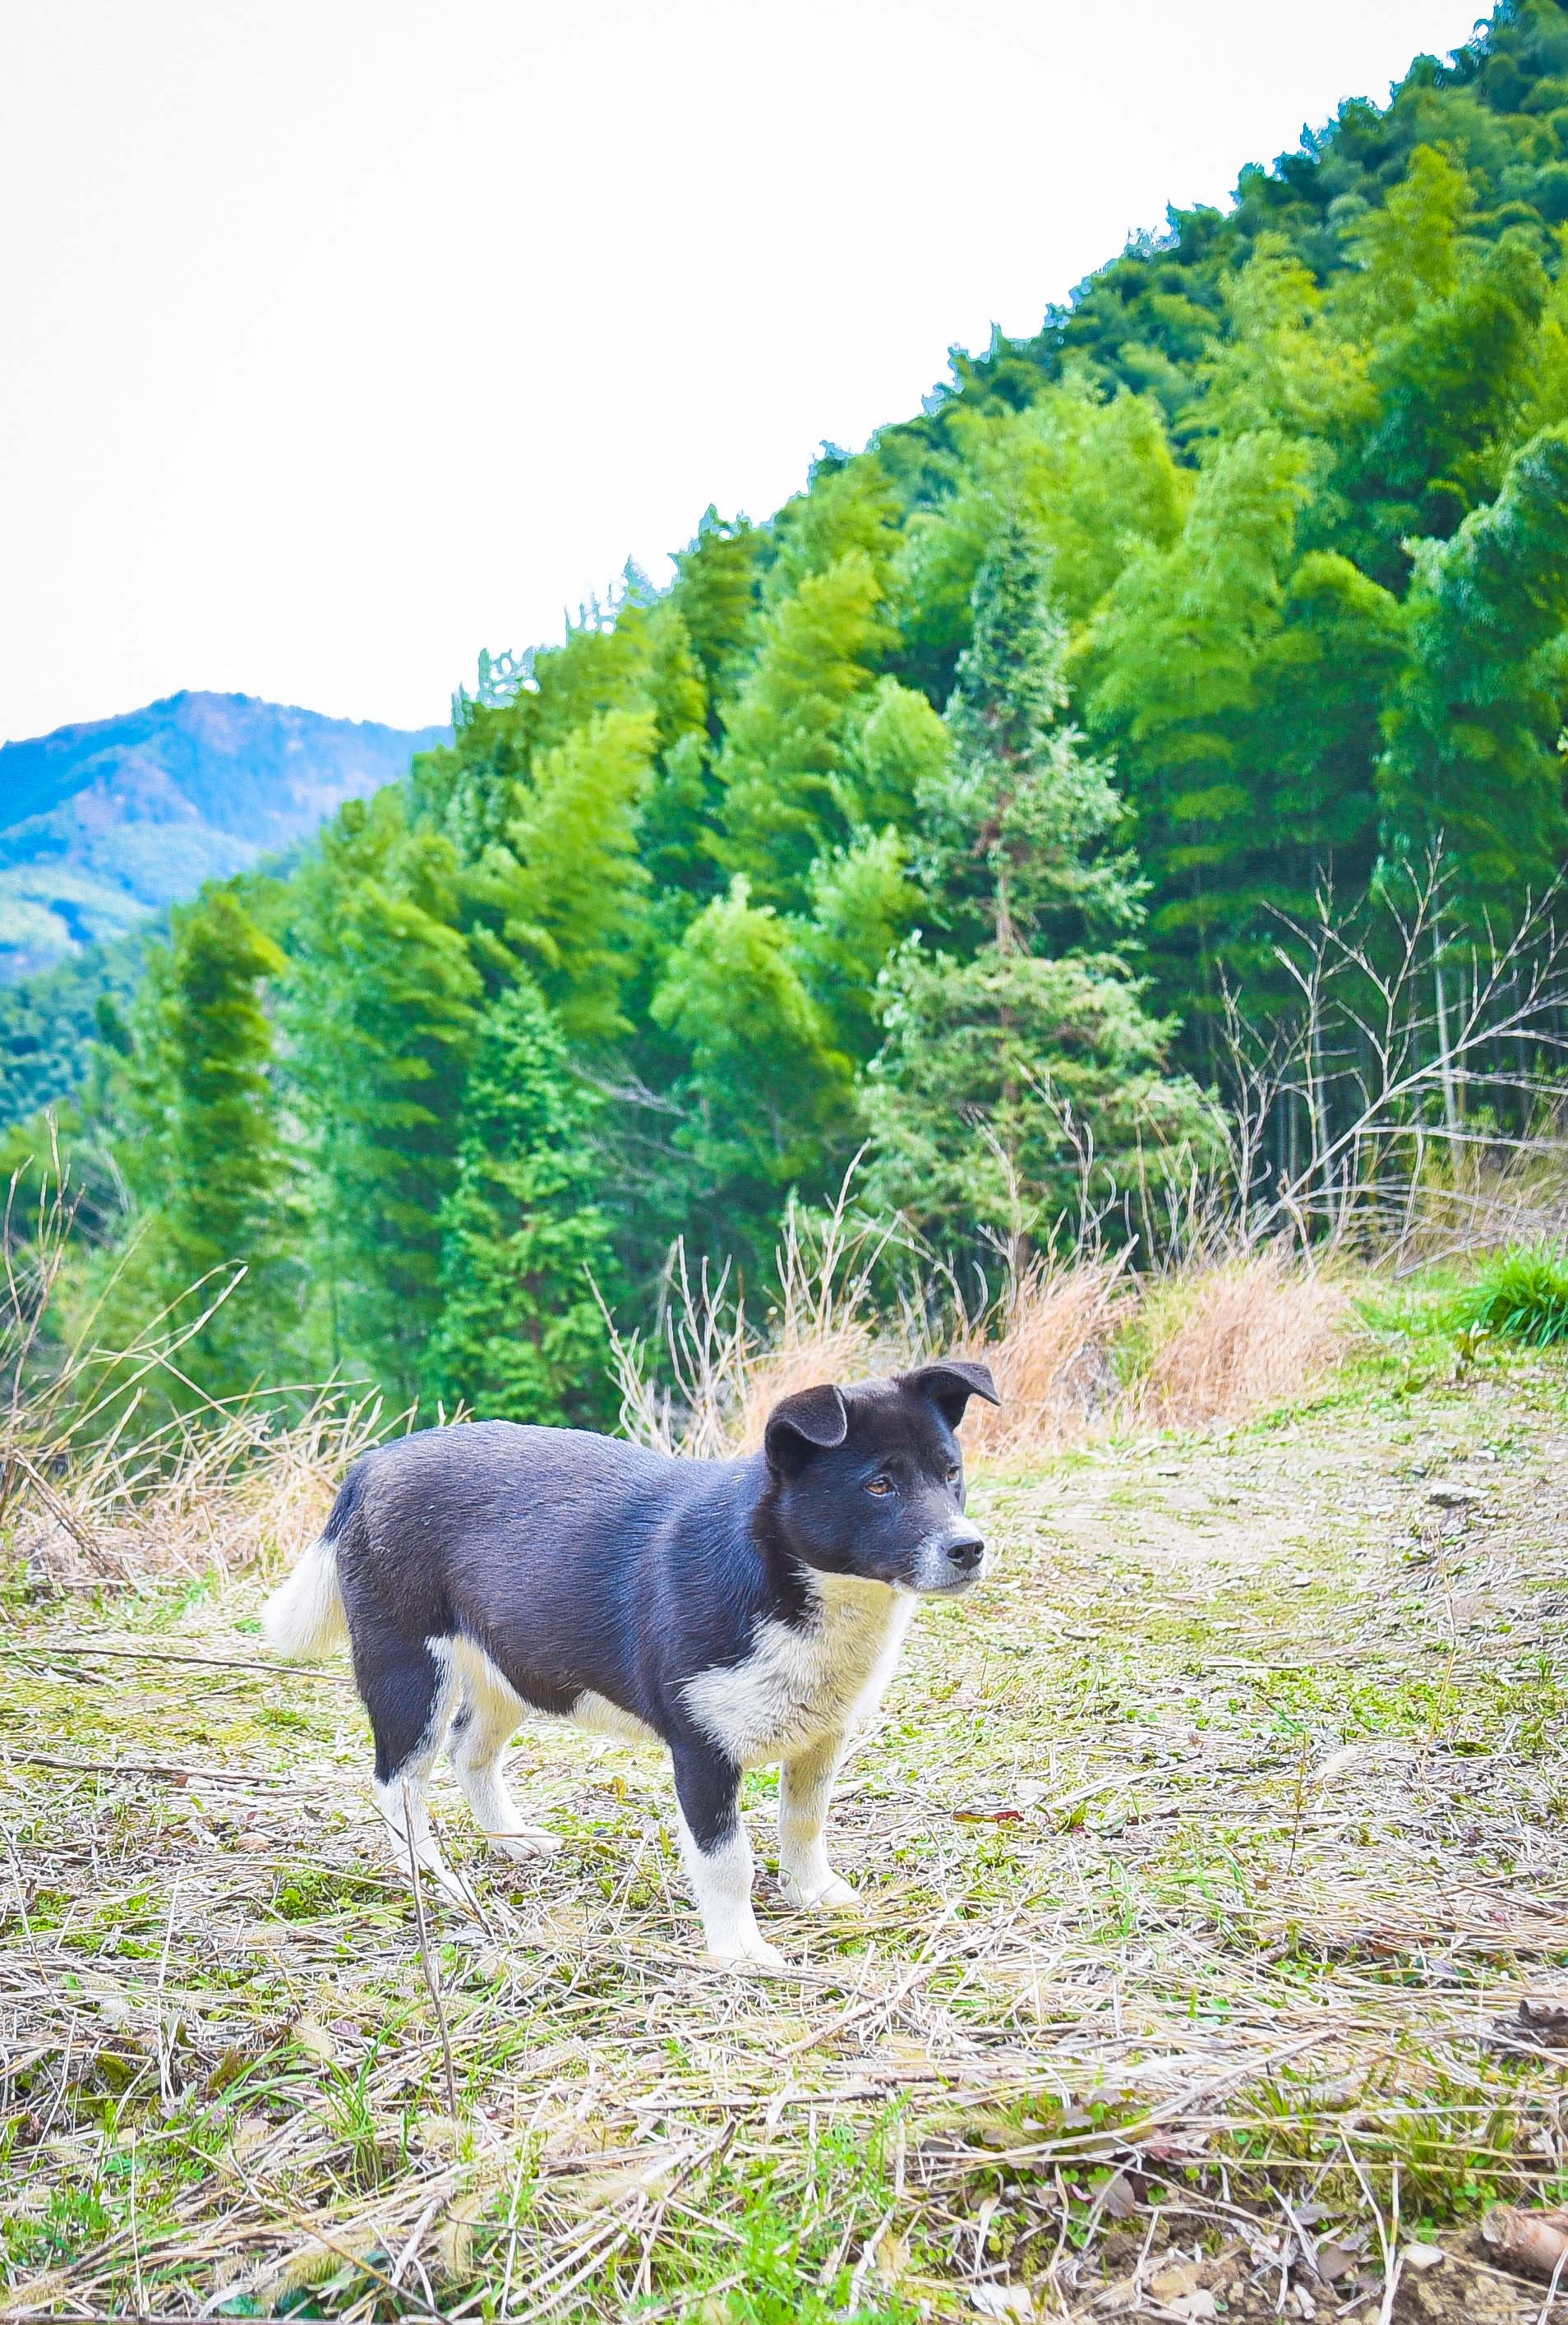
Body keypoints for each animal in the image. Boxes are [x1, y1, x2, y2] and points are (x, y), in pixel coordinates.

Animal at [256, 1358, 990, 1962]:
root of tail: (369, 1465)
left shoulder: (823, 1734)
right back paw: (440, 1884)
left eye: (951, 1472)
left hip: (514, 1666)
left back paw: (512, 1838)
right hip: (410, 1673)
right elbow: (727, 1859)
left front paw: (813, 1892)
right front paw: (740, 1952)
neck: (795, 1581)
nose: (970, 1548)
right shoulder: (702, 1751)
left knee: (470, 1751)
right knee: (397, 1786)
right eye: (879, 1485)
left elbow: (804, 1821)